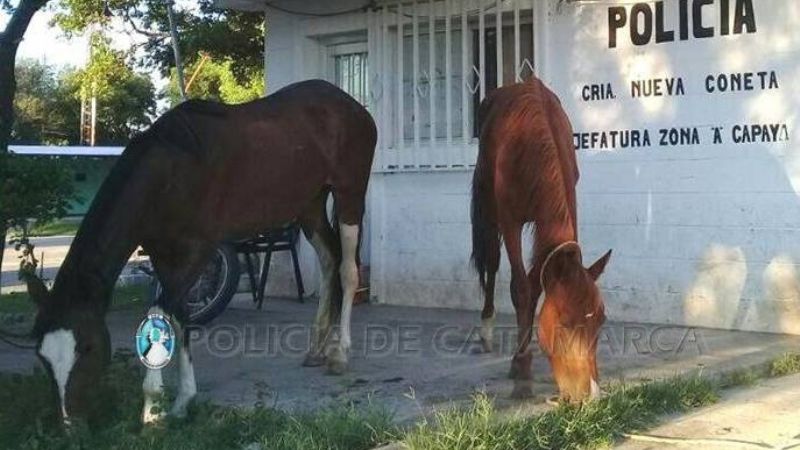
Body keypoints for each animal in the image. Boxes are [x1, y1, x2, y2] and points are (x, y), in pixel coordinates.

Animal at [25, 79, 376, 425]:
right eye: (42, 355)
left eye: (86, 347)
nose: (70, 422)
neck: (173, 168)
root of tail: (354, 107)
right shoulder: (164, 255)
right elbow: (179, 316)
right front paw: (182, 401)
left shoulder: (200, 252)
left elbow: (159, 312)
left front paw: (152, 409)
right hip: (310, 206)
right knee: (330, 259)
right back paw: (317, 349)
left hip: (349, 194)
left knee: (347, 270)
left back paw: (340, 353)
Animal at [470, 78, 612, 401]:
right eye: (564, 324)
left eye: (601, 320)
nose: (590, 394)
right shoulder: (510, 220)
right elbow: (521, 288)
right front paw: (522, 368)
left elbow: (536, 283)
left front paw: (520, 361)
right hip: (488, 201)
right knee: (493, 262)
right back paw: (486, 327)